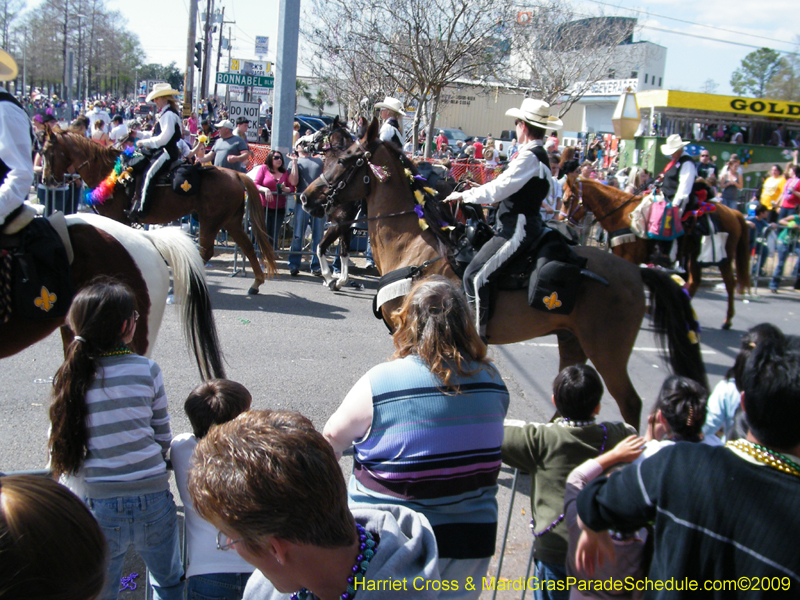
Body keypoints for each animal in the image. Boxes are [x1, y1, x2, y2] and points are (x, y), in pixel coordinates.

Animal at [41, 127, 278, 294]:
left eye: (45, 151)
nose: (46, 180)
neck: (107, 172)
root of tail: (236, 174)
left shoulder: (116, 217)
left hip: (210, 221)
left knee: (206, 252)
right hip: (230, 221)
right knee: (247, 246)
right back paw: (255, 283)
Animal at [300, 118, 708, 426]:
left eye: (346, 158)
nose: (306, 197)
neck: (413, 245)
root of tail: (637, 272)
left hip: (606, 351)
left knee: (630, 404)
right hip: (571, 341)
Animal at [560, 176, 752, 330]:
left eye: (567, 200)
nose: (562, 222)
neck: (621, 214)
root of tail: (734, 212)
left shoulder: (629, 257)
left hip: (724, 258)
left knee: (730, 283)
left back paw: (727, 320)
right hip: (694, 257)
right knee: (694, 282)